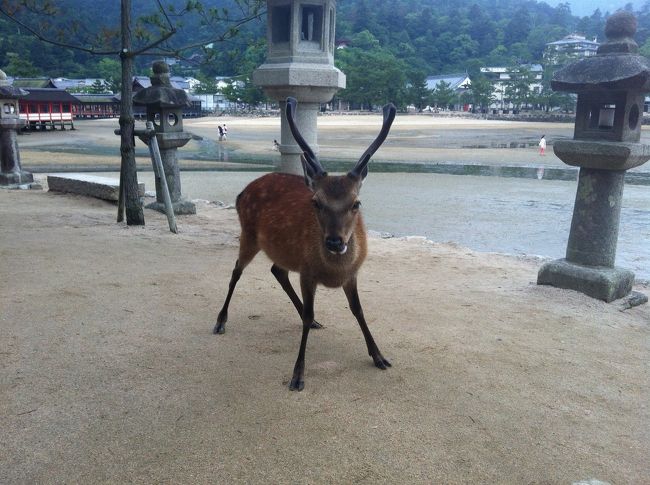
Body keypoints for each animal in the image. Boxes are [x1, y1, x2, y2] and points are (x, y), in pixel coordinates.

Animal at [213, 97, 397, 391]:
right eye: (316, 202)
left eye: (356, 203)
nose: (334, 241)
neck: (333, 273)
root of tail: (243, 191)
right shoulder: (307, 273)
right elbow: (311, 312)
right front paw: (297, 375)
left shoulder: (352, 274)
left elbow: (358, 310)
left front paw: (379, 356)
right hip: (248, 235)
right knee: (236, 272)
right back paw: (220, 321)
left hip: (282, 251)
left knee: (277, 270)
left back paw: (313, 322)